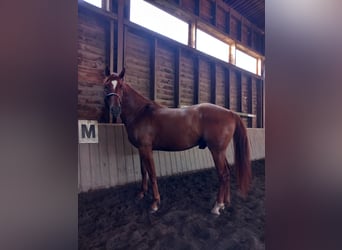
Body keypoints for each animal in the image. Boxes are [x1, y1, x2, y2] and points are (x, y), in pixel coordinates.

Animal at [103, 68, 251, 215]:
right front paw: (141, 193)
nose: (115, 109)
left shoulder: (146, 149)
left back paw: (217, 206)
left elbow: (152, 174)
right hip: (220, 151)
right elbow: (143, 172)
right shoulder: (141, 149)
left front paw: (155, 203)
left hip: (216, 151)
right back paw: (225, 203)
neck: (140, 113)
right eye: (106, 86)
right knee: (227, 173)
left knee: (223, 175)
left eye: (121, 86)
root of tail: (230, 113)